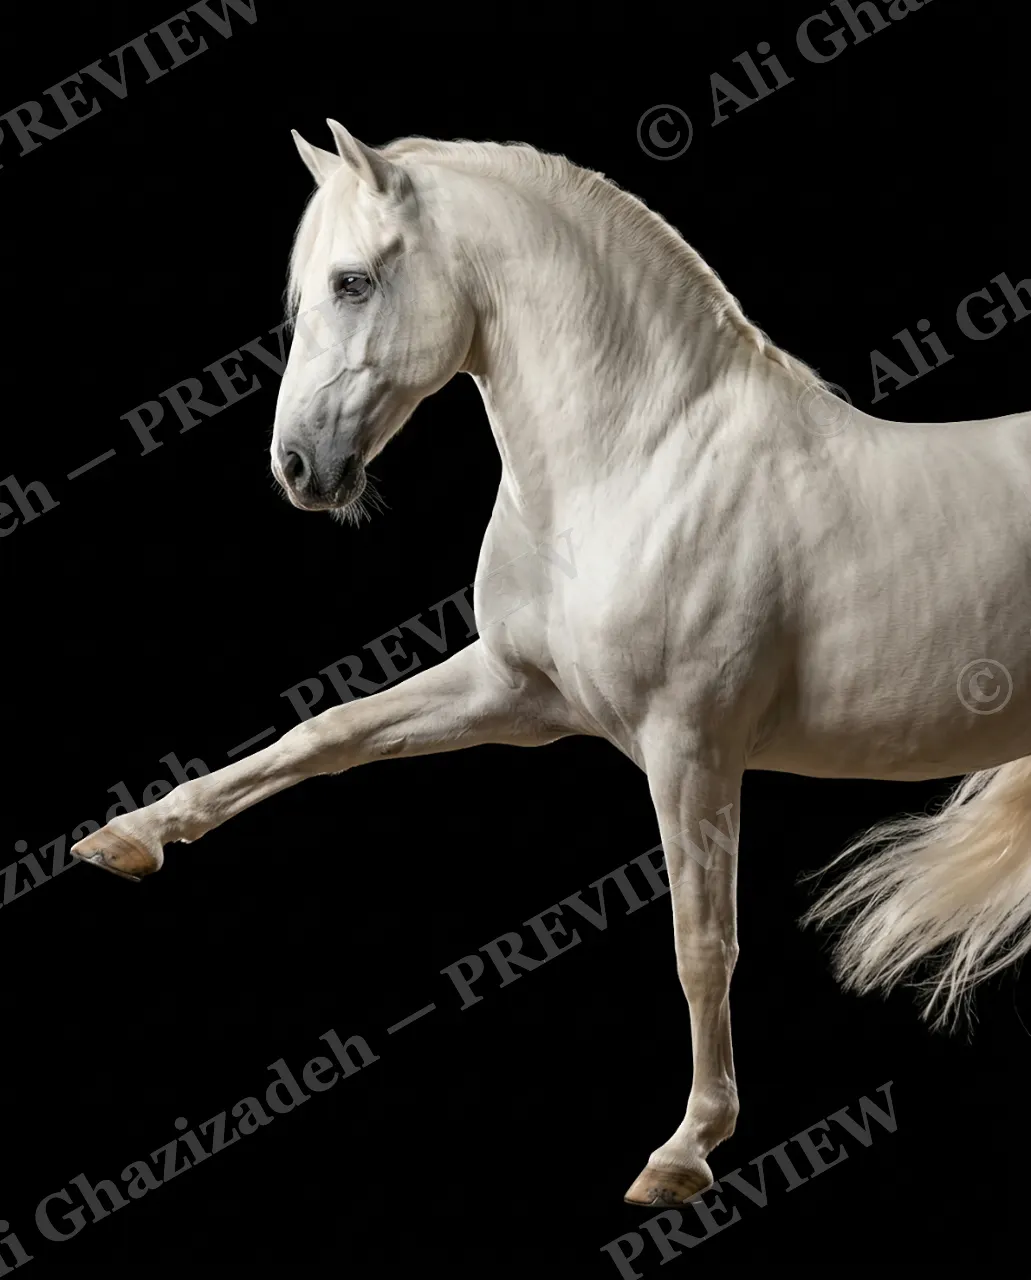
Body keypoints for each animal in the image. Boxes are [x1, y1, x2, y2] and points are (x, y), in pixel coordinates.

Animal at [71, 120, 1031, 1208]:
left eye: (352, 282)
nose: (297, 471)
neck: (641, 465)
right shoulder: (515, 691)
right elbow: (322, 734)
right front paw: (130, 836)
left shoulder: (689, 747)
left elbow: (700, 943)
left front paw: (686, 1149)